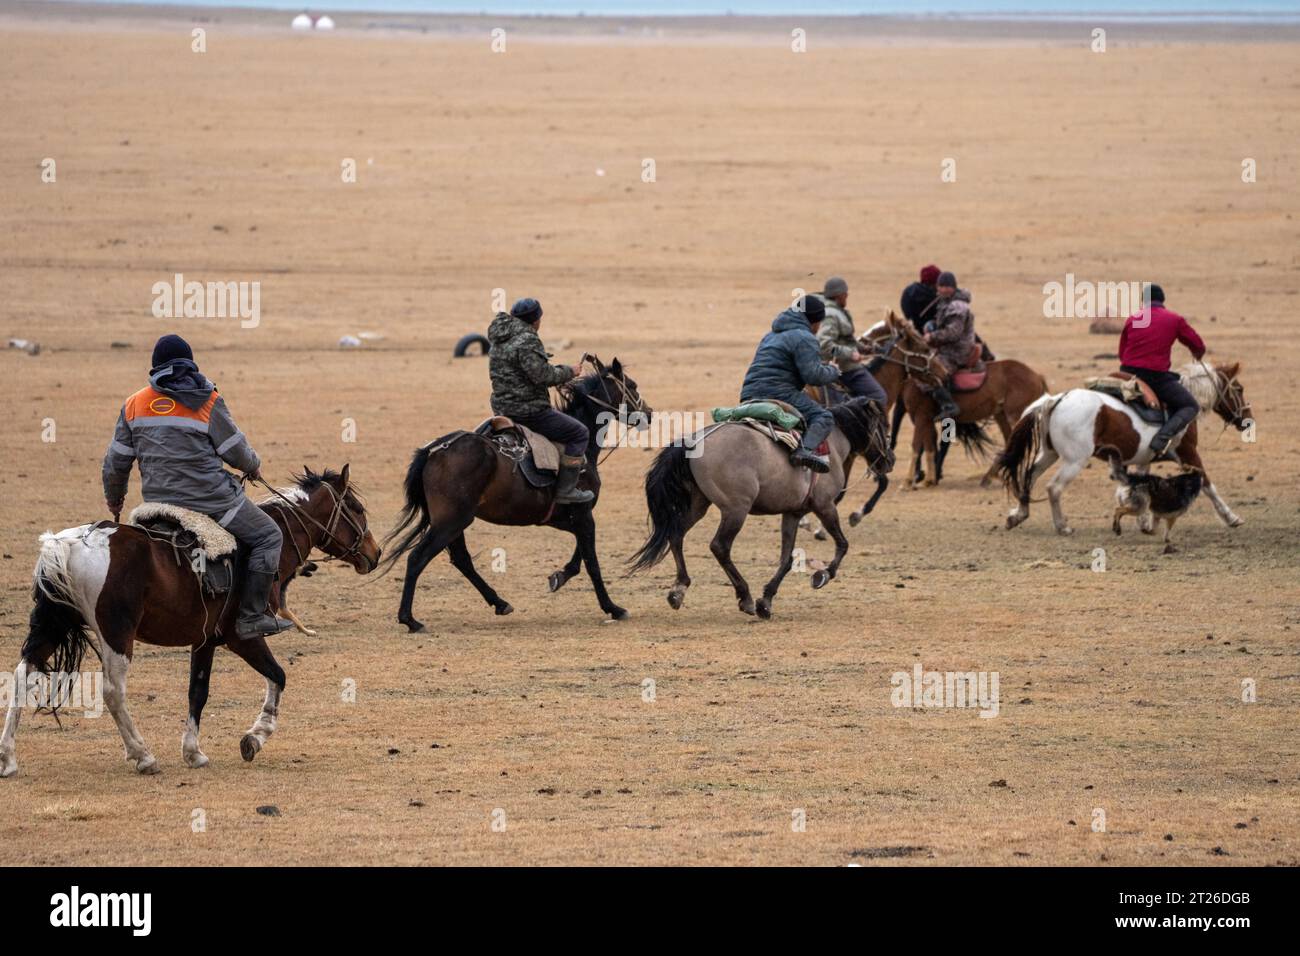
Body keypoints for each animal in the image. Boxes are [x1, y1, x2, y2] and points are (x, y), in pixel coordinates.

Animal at [0, 468, 379, 780]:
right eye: (357, 509)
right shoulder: (243, 637)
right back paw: (142, 755)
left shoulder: (205, 640)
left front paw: (193, 752)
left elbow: (198, 692)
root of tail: (67, 544)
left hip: (51, 625)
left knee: (21, 676)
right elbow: (278, 676)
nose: (375, 554)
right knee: (112, 692)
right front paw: (255, 737)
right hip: (117, 635)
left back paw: (7, 758)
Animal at [382, 356, 650, 632]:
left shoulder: (567, 519)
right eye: (632, 385)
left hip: (454, 522)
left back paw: (499, 603)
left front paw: (560, 576)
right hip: (450, 522)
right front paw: (612, 607)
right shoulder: (584, 515)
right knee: (417, 558)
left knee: (461, 559)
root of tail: (433, 450)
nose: (649, 414)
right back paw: (410, 619)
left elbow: (579, 556)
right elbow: (591, 562)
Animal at [629, 395, 894, 621]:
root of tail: (695, 442)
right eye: (883, 427)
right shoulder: (825, 506)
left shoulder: (793, 513)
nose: (889, 460)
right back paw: (744, 596)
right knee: (720, 547)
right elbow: (842, 544)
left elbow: (786, 559)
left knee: (676, 535)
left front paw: (766, 601)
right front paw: (822, 575)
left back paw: (679, 589)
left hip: (698, 504)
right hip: (736, 509)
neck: (833, 444)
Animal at [993, 361, 1248, 535]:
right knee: (1053, 488)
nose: (1247, 419)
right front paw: (1231, 517)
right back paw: (1062, 526)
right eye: (1239, 389)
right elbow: (1208, 484)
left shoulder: (1144, 459)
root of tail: (1057, 399)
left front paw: (1143, 521)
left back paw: (1018, 515)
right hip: (1074, 461)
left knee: (1029, 475)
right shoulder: (1188, 455)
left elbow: (1142, 486)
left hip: (1049, 454)